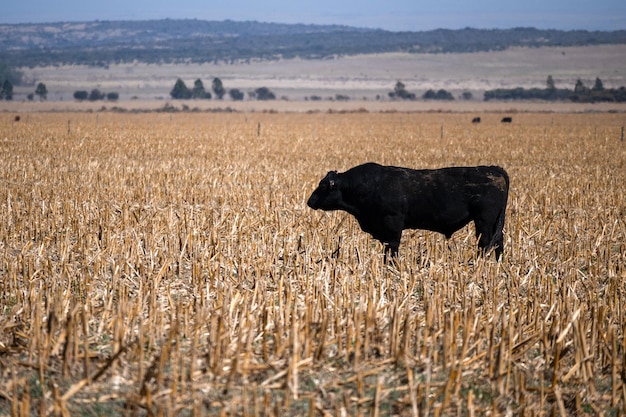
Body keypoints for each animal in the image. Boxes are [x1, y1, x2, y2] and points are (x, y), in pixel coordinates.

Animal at [306, 162, 508, 256]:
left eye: (323, 186)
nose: (310, 201)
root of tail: (492, 168)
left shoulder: (392, 225)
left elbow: (392, 250)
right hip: (494, 222)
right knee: (498, 243)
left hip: (484, 221)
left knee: (486, 244)